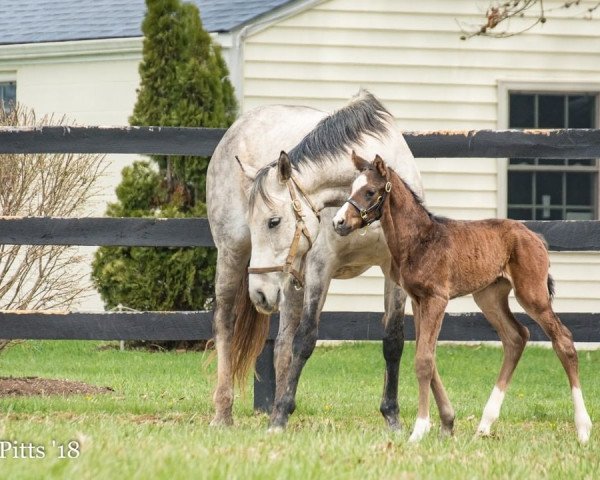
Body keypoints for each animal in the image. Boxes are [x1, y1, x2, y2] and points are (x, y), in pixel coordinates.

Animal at [330, 153, 592, 442]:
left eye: (369, 191)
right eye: (352, 188)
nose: (338, 222)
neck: (419, 240)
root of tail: (537, 237)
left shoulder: (437, 298)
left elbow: (424, 360)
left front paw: (420, 429)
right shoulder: (418, 300)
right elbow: (427, 355)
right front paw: (446, 424)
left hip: (531, 293)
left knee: (563, 340)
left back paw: (583, 428)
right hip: (489, 296)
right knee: (516, 337)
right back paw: (485, 424)